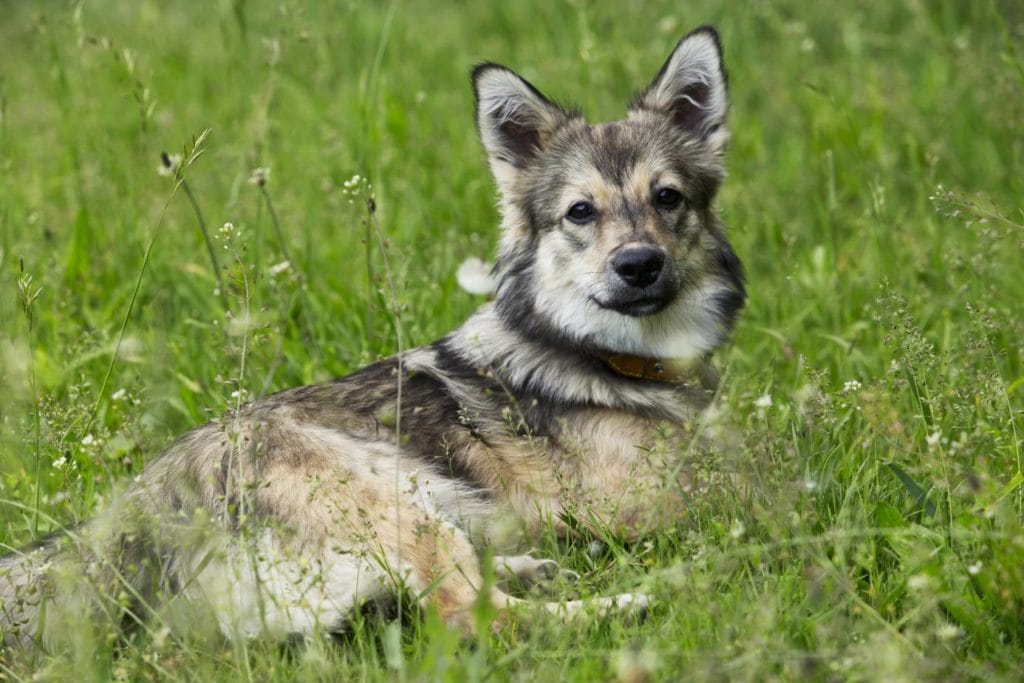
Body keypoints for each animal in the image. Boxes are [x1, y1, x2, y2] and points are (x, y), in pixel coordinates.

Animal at [0, 24, 745, 651]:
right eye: (580, 212)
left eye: (668, 198)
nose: (639, 264)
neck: (609, 356)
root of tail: (126, 522)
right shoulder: (646, 501)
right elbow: (759, 488)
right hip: (393, 494)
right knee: (469, 615)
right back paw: (639, 598)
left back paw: (532, 566)